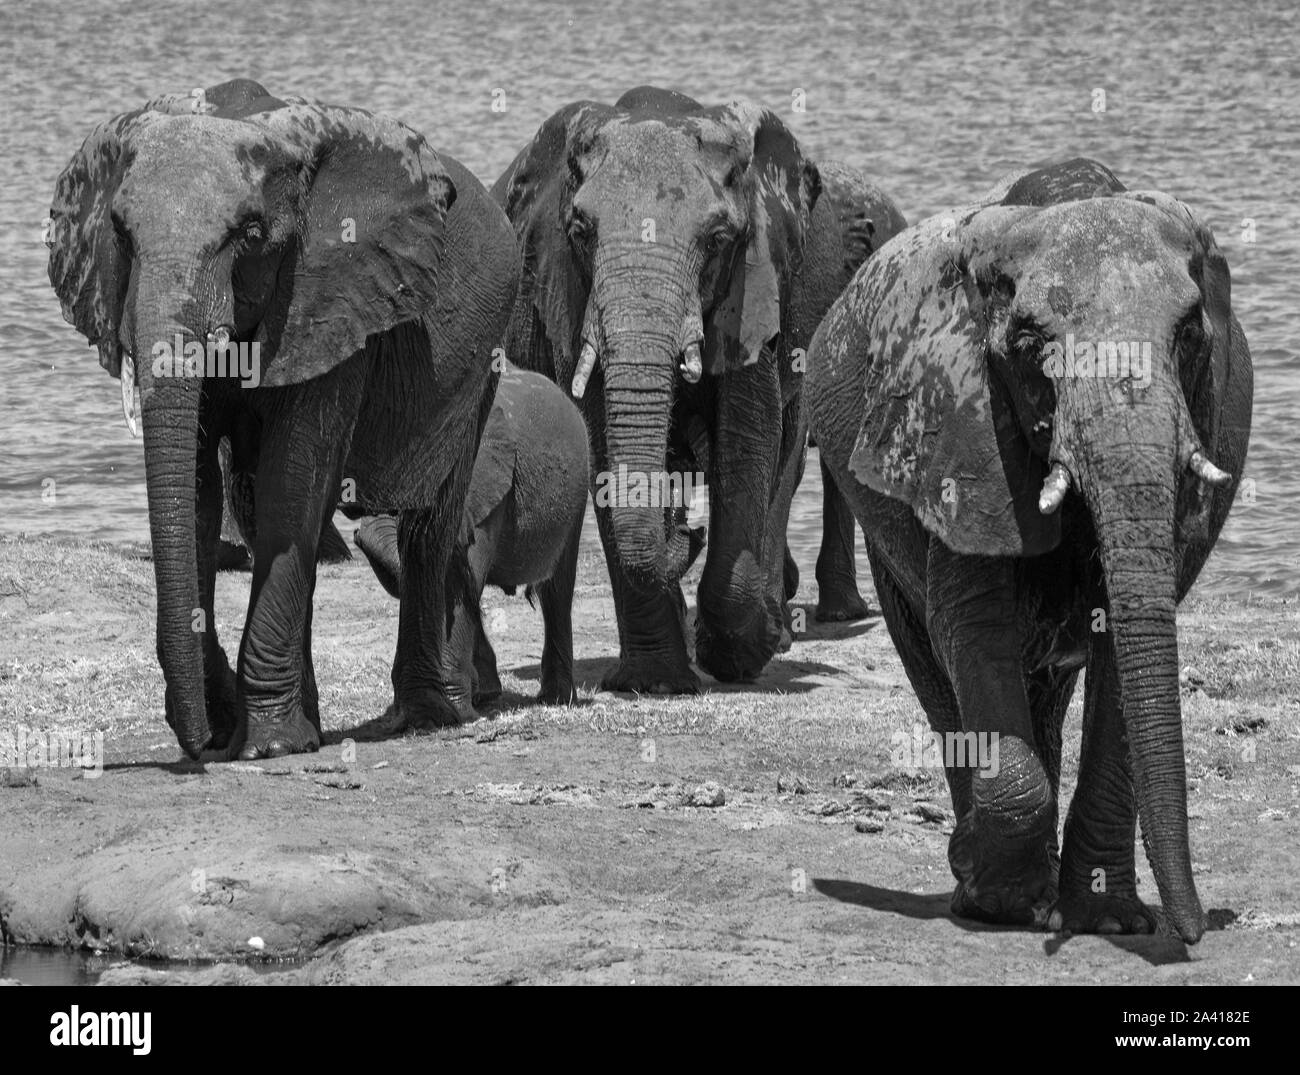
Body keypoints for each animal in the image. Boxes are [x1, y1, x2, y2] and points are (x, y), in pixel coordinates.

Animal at [48, 79, 520, 759]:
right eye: (120, 232)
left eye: (250, 234)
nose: (199, 745)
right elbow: (201, 494)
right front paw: (240, 727)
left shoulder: (335, 297)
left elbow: (291, 481)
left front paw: (267, 745)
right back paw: (316, 724)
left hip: (483, 358)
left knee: (431, 520)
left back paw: (427, 716)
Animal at [361, 366, 595, 712]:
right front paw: (474, 695)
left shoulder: (487, 480)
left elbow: (456, 569)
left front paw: (453, 705)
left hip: (578, 491)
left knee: (557, 589)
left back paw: (556, 699)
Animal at [493, 86, 904, 691]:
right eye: (580, 232)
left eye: (717, 240)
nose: (690, 528)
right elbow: (604, 445)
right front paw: (656, 681)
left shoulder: (755, 284)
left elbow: (749, 440)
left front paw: (740, 655)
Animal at [806, 159, 1253, 941]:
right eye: (1025, 341)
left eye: (1189, 333)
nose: (1197, 927)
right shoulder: (959, 420)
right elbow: (978, 629)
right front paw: (993, 893)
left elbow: (1120, 639)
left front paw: (1110, 920)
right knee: (935, 664)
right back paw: (984, 883)